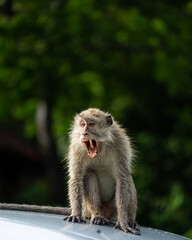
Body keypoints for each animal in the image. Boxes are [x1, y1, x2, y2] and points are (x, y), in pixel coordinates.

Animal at [0, 109, 141, 236]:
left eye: (91, 124)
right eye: (82, 124)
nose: (84, 133)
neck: (101, 147)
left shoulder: (120, 145)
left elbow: (122, 179)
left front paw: (123, 222)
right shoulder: (77, 147)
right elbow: (76, 178)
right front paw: (76, 214)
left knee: (128, 180)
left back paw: (130, 220)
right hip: (88, 208)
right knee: (89, 174)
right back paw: (97, 216)